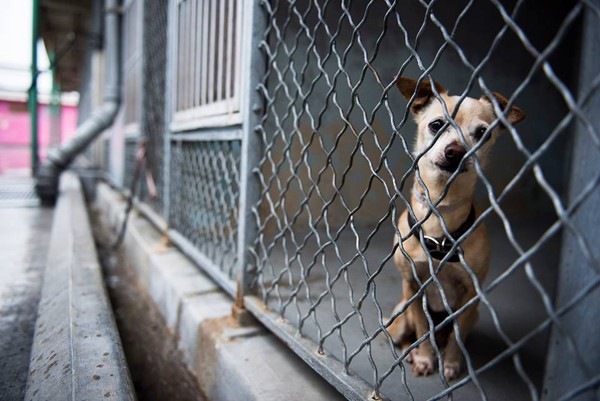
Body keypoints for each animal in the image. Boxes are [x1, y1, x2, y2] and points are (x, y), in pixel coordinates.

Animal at [390, 76, 524, 380]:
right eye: (436, 124)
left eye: (483, 133)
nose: (456, 152)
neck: (441, 211)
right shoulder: (413, 287)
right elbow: (423, 329)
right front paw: (425, 358)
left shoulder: (469, 296)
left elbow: (456, 335)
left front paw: (450, 363)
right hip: (399, 315)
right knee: (404, 336)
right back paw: (410, 353)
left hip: (474, 313)